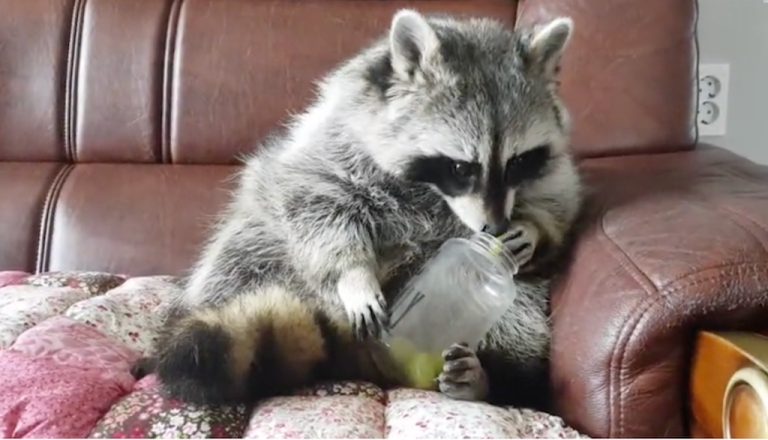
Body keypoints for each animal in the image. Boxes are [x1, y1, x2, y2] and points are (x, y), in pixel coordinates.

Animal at [135, 9, 584, 412]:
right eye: (461, 168)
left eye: (517, 162)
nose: (495, 226)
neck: (432, 194)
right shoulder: (332, 143)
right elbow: (317, 200)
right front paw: (353, 274)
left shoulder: (546, 173)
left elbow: (561, 196)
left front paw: (533, 229)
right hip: (260, 240)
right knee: (237, 259)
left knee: (519, 306)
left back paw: (492, 378)